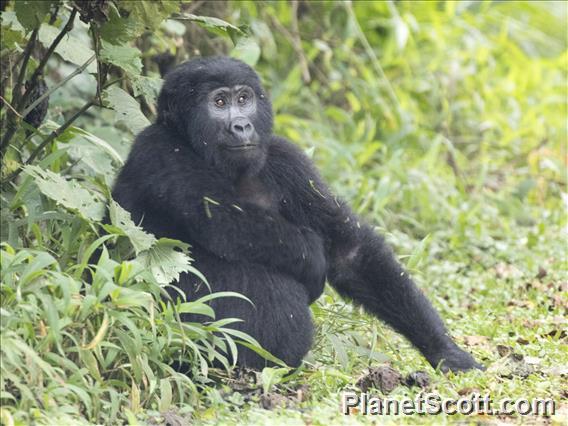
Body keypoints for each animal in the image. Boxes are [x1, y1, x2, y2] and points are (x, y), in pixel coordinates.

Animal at [112, 56, 484, 372]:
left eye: (244, 99)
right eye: (218, 103)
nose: (242, 126)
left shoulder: (287, 159)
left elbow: (349, 252)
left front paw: (446, 352)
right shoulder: (158, 149)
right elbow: (226, 223)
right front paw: (312, 260)